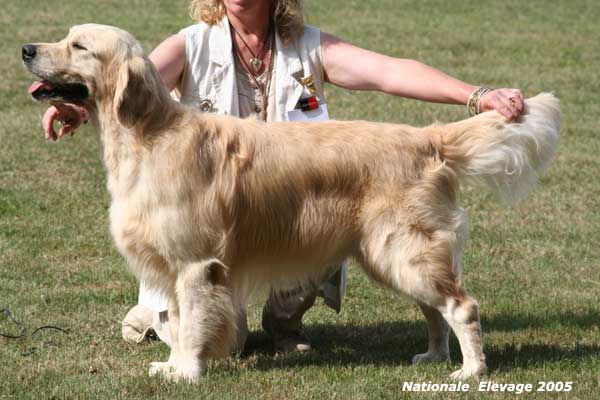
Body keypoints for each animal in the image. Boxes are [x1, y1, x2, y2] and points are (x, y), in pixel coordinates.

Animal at [23, 24, 556, 382]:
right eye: (67, 37)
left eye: (79, 46)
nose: (26, 49)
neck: (147, 134)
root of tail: (428, 137)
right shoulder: (173, 265)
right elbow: (173, 319)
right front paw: (172, 366)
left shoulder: (196, 263)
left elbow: (190, 322)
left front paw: (189, 372)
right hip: (393, 254)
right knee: (435, 310)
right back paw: (435, 357)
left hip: (404, 249)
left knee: (462, 306)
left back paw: (470, 371)